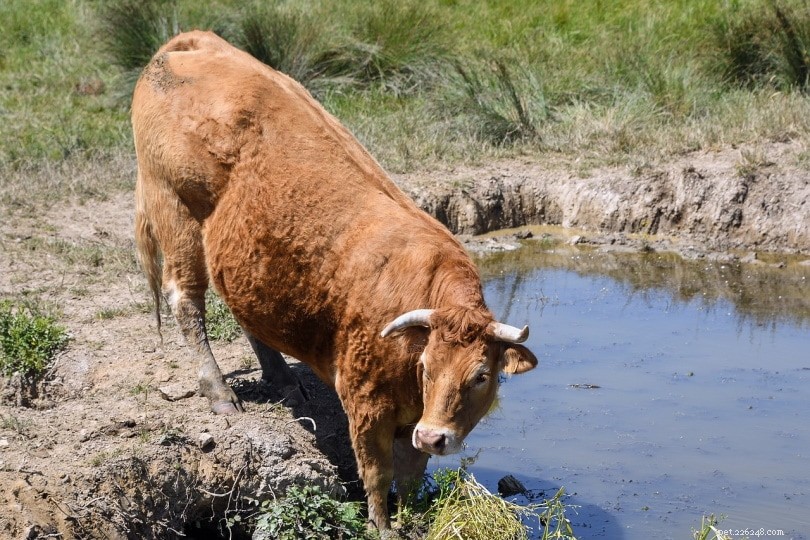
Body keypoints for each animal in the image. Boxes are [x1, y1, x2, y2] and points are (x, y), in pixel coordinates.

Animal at [132, 31, 537, 532]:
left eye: (481, 375)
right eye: (427, 367)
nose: (434, 435)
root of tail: (190, 41)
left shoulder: (411, 421)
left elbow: (411, 473)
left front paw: (414, 517)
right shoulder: (366, 406)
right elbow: (377, 473)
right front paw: (382, 527)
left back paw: (283, 378)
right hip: (175, 213)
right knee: (186, 301)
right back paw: (219, 392)